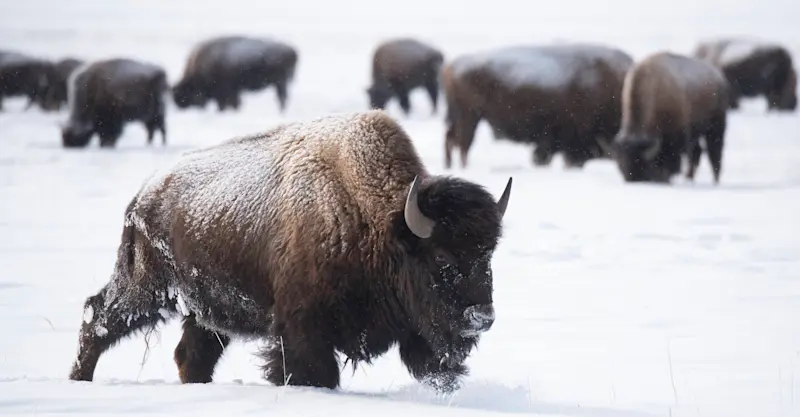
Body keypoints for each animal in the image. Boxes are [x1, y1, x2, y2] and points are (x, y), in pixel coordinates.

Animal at [67, 110, 512, 393]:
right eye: (442, 258)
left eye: (489, 254)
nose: (483, 318)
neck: (377, 224)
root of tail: (145, 193)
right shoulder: (302, 329)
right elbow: (312, 372)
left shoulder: (418, 333)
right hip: (146, 289)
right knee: (98, 316)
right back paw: (78, 380)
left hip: (205, 310)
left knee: (192, 354)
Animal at [597, 52, 729, 184]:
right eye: (620, 165)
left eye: (642, 165)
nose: (633, 179)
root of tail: (719, 78)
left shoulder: (677, 136)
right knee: (697, 153)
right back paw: (688, 178)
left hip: (716, 127)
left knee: (714, 154)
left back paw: (714, 181)